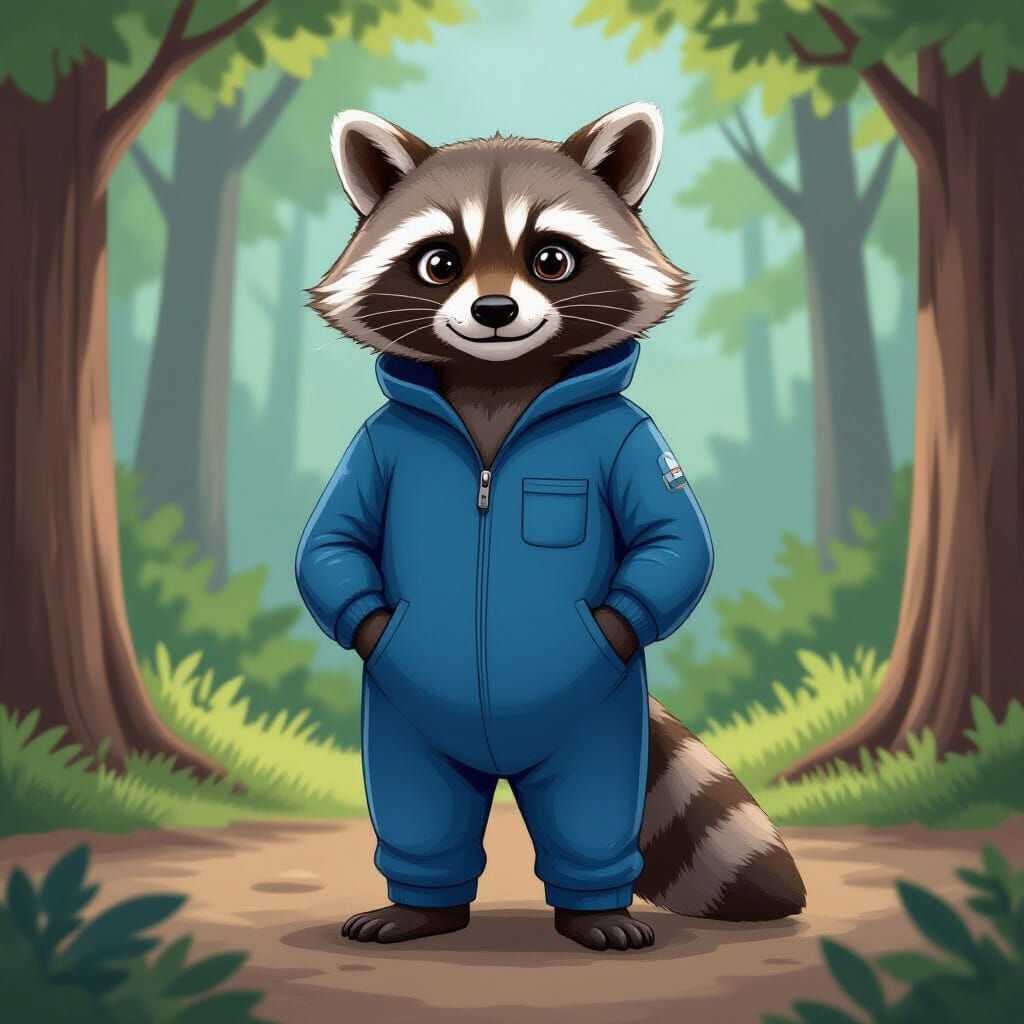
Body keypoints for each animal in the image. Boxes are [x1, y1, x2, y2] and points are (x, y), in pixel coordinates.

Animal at [300, 103, 805, 950]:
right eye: (439, 262)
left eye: (552, 259)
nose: (494, 312)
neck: (499, 386)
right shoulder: (374, 443)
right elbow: (330, 542)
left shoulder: (633, 438)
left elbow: (674, 540)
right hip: (403, 711)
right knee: (420, 803)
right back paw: (421, 903)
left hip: (601, 707)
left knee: (591, 804)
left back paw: (595, 908)